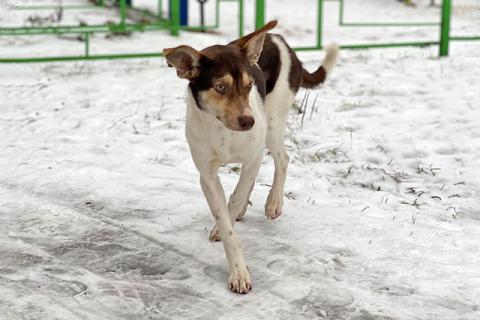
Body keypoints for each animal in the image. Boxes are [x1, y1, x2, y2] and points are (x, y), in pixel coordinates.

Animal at [164, 20, 338, 294]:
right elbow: (225, 219)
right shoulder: (207, 175)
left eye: (248, 86)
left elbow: (234, 198)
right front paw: (236, 266)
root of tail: (278, 38)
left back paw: (274, 202)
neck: (222, 130)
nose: (248, 121)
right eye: (220, 87)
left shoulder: (251, 156)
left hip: (273, 121)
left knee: (282, 158)